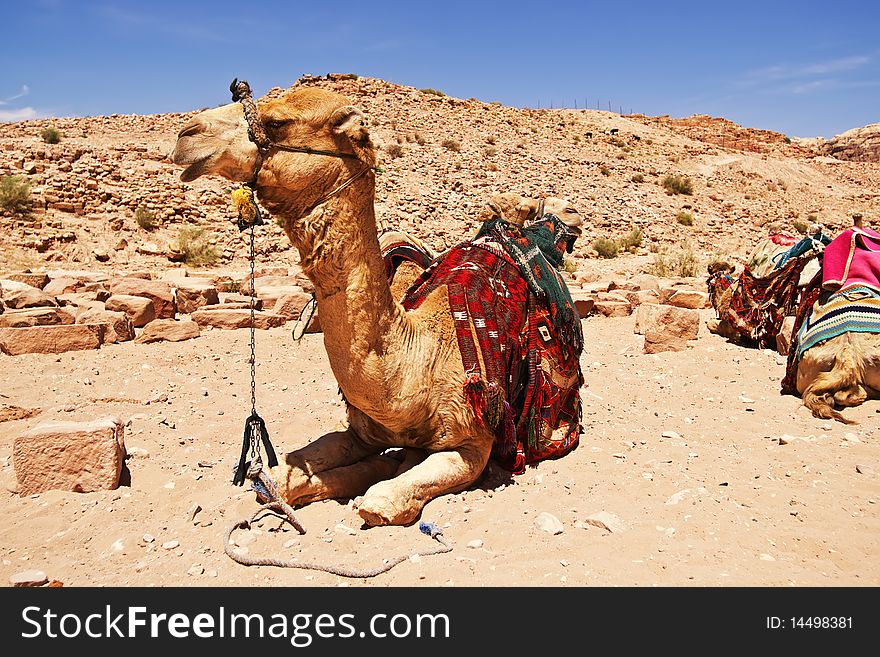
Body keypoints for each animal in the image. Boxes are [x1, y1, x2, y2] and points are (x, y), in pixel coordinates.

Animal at [170, 82, 584, 524]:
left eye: (277, 122)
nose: (186, 135)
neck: (416, 361)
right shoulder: (361, 430)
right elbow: (287, 475)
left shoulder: (473, 442)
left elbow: (381, 501)